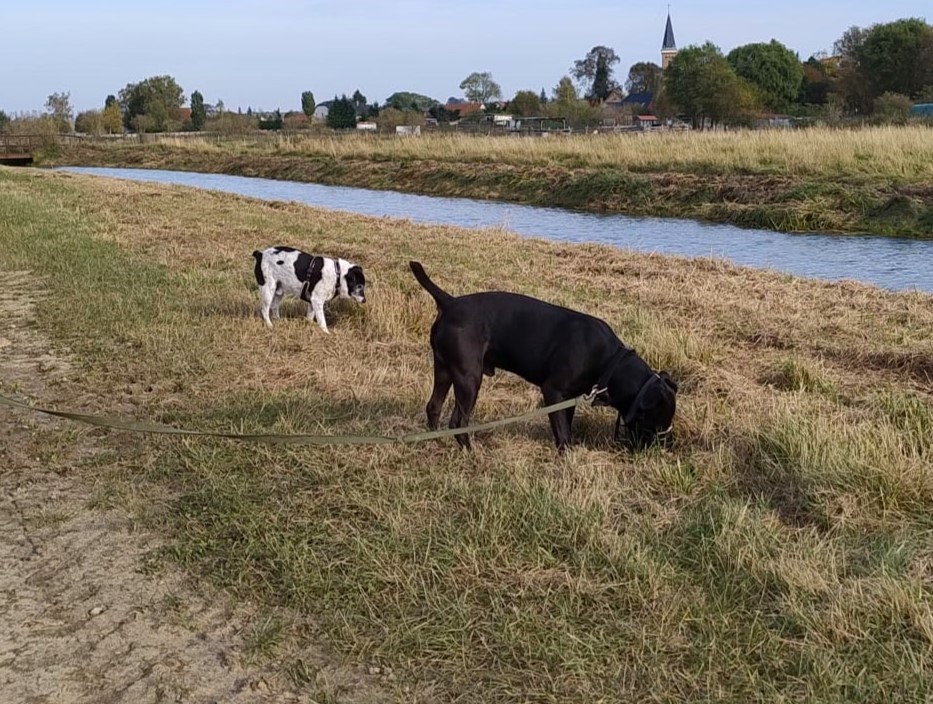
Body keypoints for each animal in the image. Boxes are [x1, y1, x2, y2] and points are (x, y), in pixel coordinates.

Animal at [408, 262, 676, 452]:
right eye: (658, 421)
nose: (668, 443)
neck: (610, 361)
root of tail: (449, 303)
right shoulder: (553, 391)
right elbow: (562, 430)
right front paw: (566, 455)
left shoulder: (567, 397)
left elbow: (565, 424)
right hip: (468, 378)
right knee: (458, 421)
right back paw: (469, 451)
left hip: (444, 369)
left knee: (434, 406)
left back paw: (436, 441)